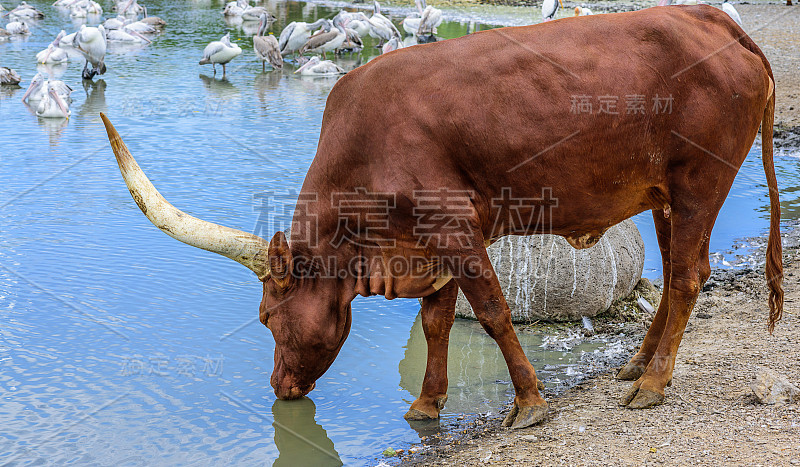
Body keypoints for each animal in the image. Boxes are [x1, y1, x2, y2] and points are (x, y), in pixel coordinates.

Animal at [100, 5, 780, 432]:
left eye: (267, 317)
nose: (279, 387)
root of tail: (714, 20)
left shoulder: (454, 227)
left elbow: (494, 312)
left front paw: (529, 402)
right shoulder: (430, 243)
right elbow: (436, 321)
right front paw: (427, 404)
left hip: (699, 185)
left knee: (688, 276)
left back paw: (654, 385)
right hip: (663, 193)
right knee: (672, 277)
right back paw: (638, 364)